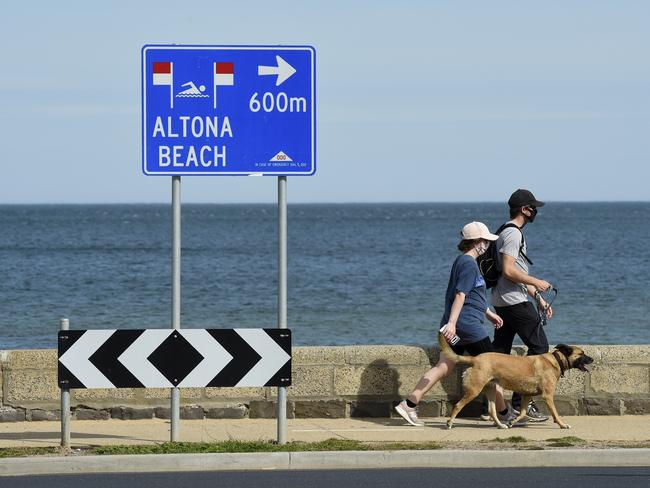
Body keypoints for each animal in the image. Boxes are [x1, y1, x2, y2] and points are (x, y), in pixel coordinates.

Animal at [436, 334, 592, 428]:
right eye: (582, 354)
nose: (592, 359)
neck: (556, 360)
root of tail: (475, 359)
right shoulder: (547, 396)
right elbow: (555, 413)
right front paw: (562, 425)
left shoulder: (527, 395)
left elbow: (522, 412)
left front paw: (513, 421)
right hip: (474, 390)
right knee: (458, 405)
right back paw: (449, 423)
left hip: (491, 389)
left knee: (492, 411)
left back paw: (501, 425)